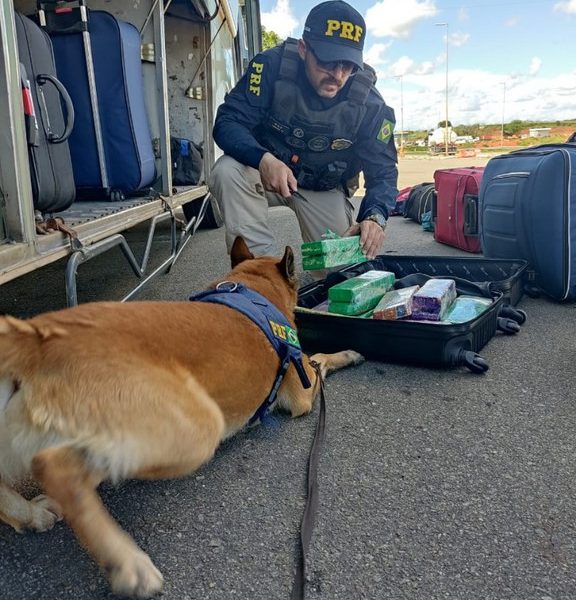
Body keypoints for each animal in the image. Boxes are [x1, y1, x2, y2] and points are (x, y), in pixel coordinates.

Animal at [0, 238, 362, 596]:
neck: (253, 286)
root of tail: (38, 335)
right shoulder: (301, 391)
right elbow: (319, 359)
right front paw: (347, 354)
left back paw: (32, 514)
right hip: (194, 429)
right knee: (56, 468)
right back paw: (127, 562)